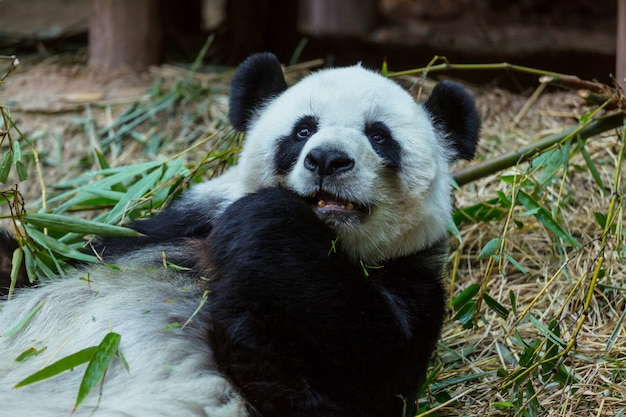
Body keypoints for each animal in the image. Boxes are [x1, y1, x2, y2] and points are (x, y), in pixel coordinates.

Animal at [0, 52, 478, 416]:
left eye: (379, 136)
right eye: (303, 129)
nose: (326, 159)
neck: (331, 245)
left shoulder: (410, 279)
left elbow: (363, 372)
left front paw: (263, 227)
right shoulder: (169, 227)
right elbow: (41, 264)